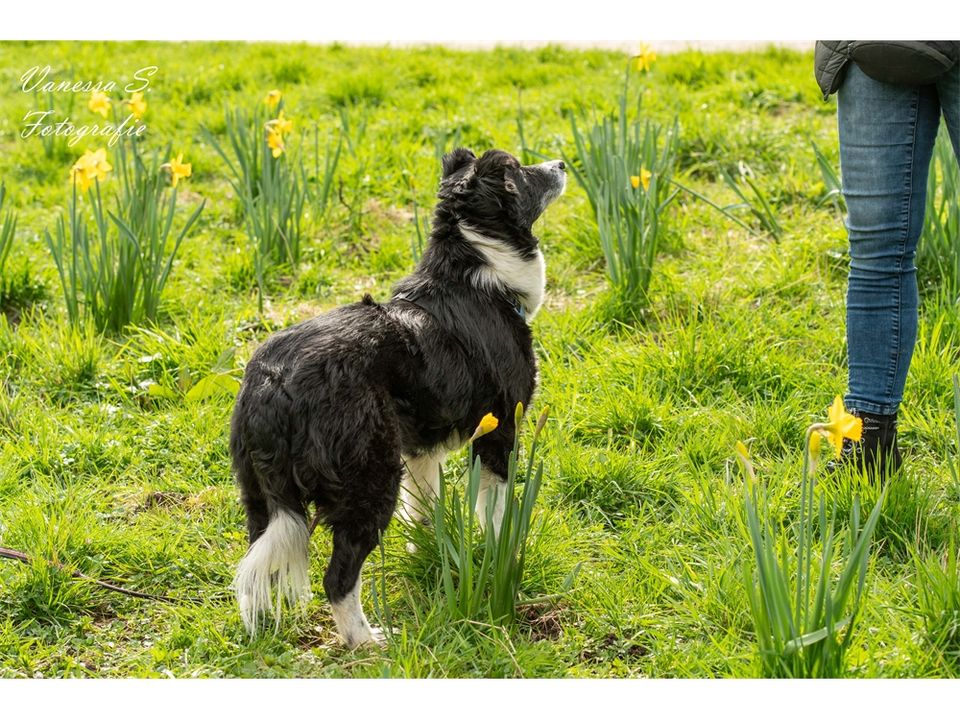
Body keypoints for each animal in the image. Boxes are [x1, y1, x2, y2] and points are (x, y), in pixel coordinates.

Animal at [230, 146, 568, 648]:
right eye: (520, 173)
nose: (562, 164)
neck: (476, 273)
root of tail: (273, 382)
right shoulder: (499, 430)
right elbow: (499, 514)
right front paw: (504, 556)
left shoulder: (421, 445)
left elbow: (424, 509)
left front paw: (430, 551)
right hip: (370, 475)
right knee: (338, 577)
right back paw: (367, 641)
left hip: (260, 496)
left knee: (253, 570)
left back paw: (264, 629)